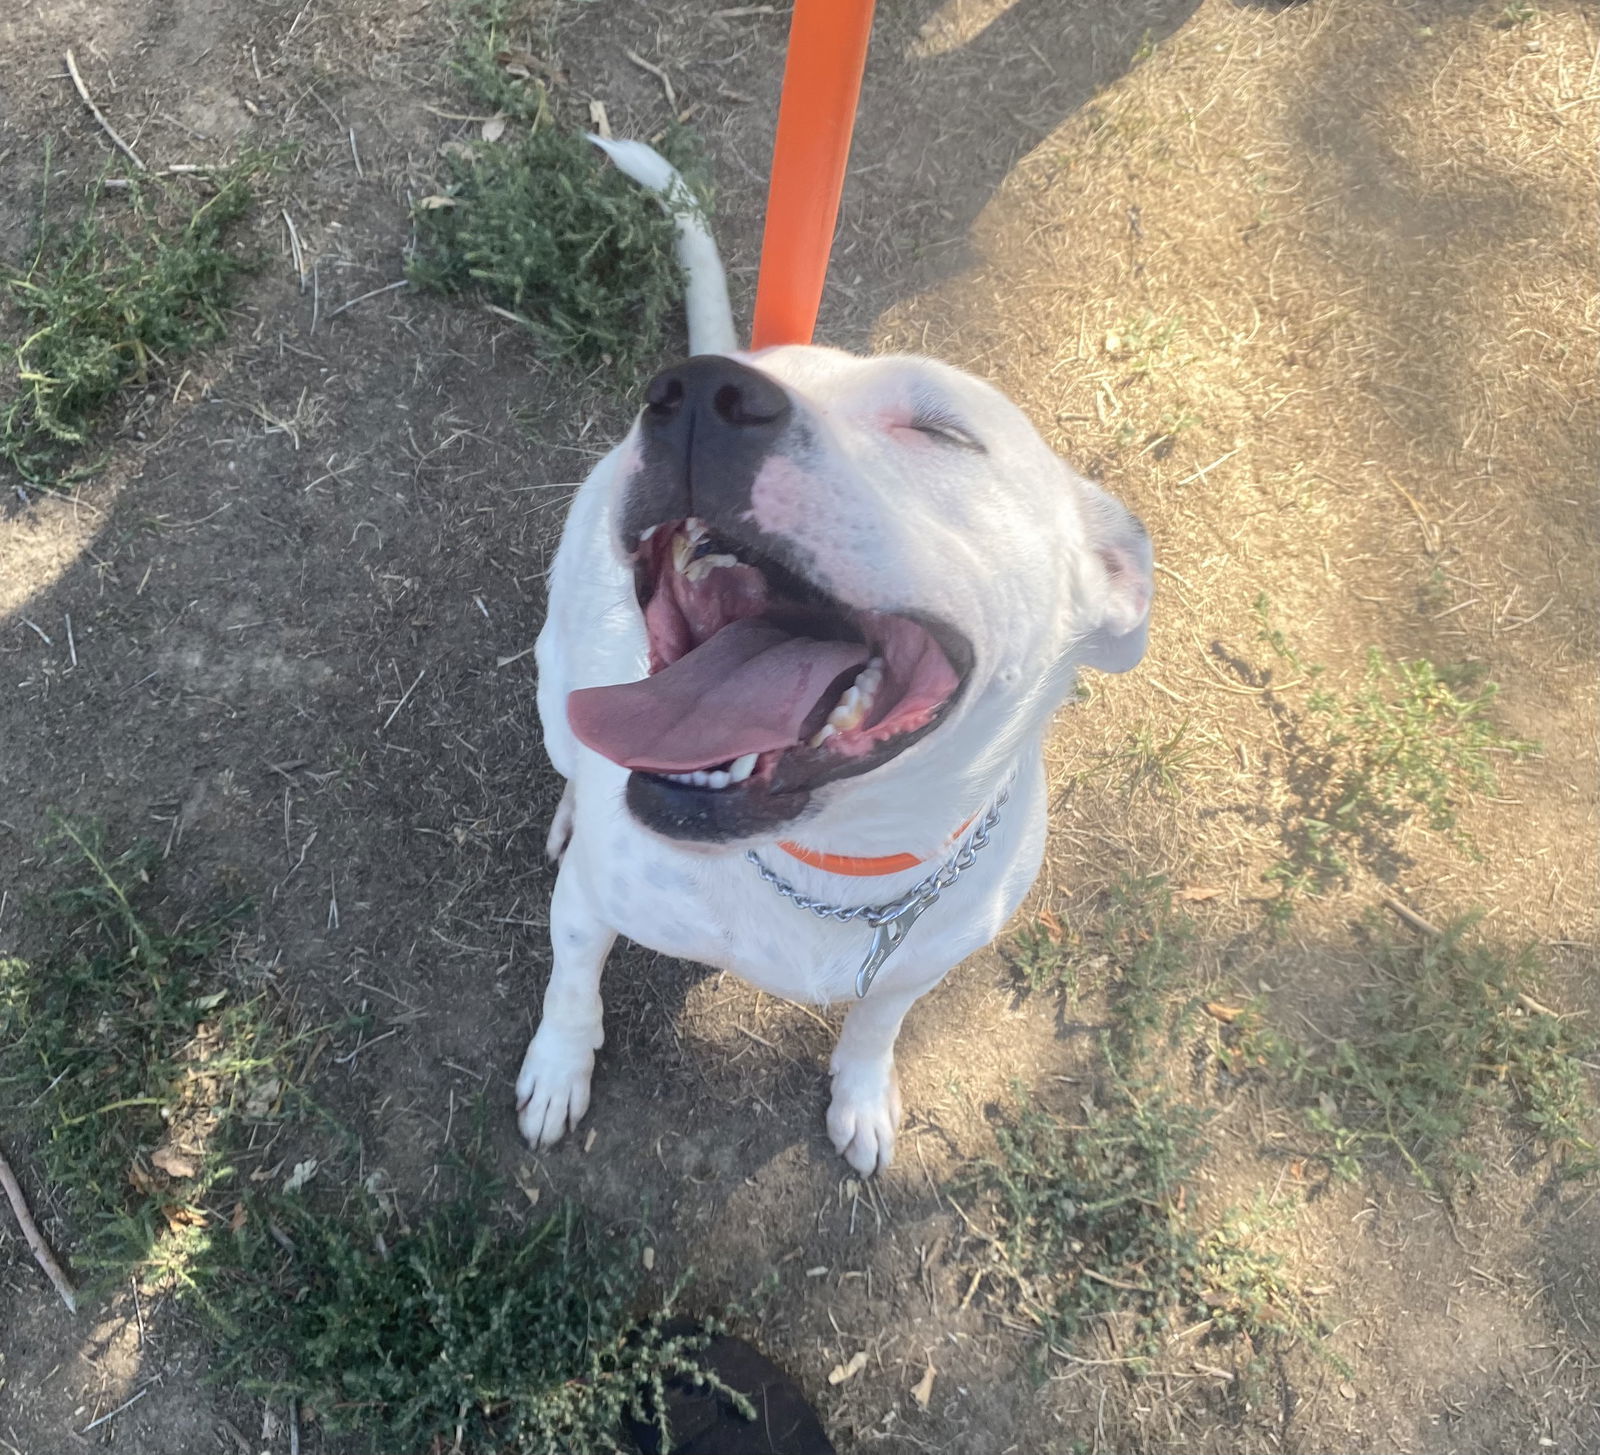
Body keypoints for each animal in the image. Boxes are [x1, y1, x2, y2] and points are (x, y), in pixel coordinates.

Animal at [512, 144, 1152, 1171]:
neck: (833, 863)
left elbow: (878, 1020)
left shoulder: (922, 963)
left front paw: (861, 1091)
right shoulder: (584, 910)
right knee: (571, 748)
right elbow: (572, 988)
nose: (696, 390)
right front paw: (559, 1069)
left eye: (941, 431)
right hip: (552, 679)